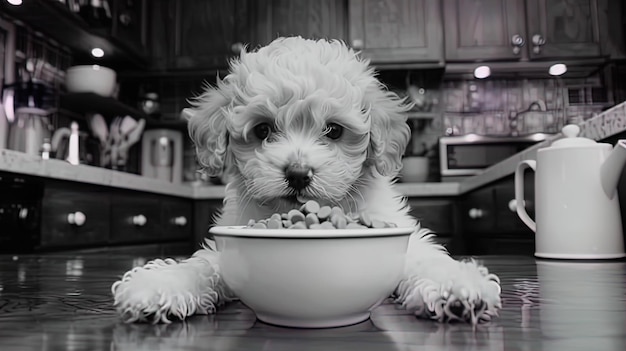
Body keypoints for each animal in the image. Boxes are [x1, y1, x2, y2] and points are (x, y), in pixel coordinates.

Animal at [111, 37, 498, 326]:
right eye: (262, 130)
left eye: (334, 131)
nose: (298, 173)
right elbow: (204, 264)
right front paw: (158, 285)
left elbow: (425, 258)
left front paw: (458, 287)